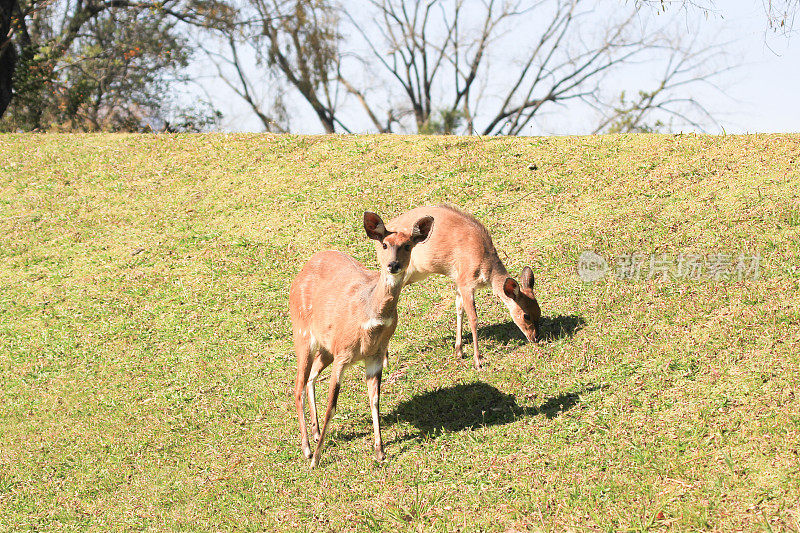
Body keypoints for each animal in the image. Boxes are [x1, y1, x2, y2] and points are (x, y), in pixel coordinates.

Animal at [290, 210, 434, 468]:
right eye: (384, 244)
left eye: (408, 245)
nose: (393, 265)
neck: (371, 320)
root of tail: (300, 274)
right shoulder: (343, 355)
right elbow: (332, 405)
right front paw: (316, 459)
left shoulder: (374, 356)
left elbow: (375, 400)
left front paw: (380, 452)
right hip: (302, 333)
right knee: (298, 386)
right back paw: (307, 448)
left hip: (326, 347)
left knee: (311, 376)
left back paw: (315, 433)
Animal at [390, 202, 544, 368]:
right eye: (526, 315)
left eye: (539, 311)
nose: (535, 337)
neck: (485, 265)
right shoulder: (466, 283)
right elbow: (473, 318)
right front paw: (478, 361)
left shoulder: (459, 282)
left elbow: (459, 308)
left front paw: (459, 351)